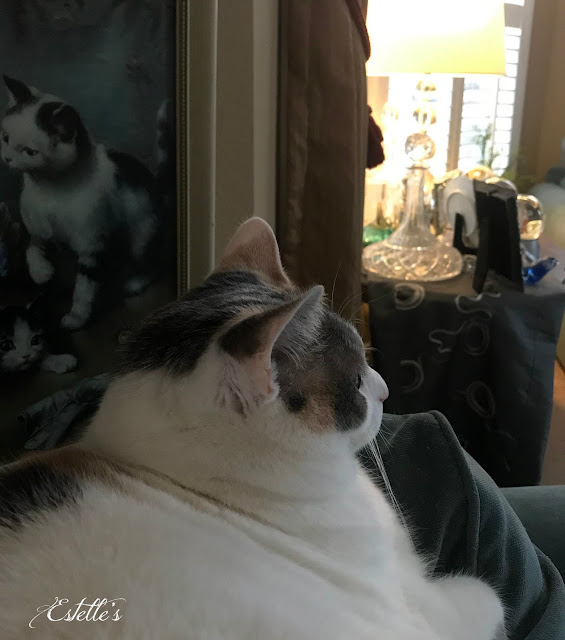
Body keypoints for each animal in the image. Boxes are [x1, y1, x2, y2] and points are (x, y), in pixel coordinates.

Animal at [0, 75, 162, 330]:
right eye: (5, 138)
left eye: (30, 152)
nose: (7, 158)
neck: (50, 191)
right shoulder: (38, 229)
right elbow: (31, 246)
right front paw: (41, 272)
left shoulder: (91, 246)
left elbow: (84, 288)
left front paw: (76, 317)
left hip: (143, 232)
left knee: (151, 261)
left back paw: (134, 283)